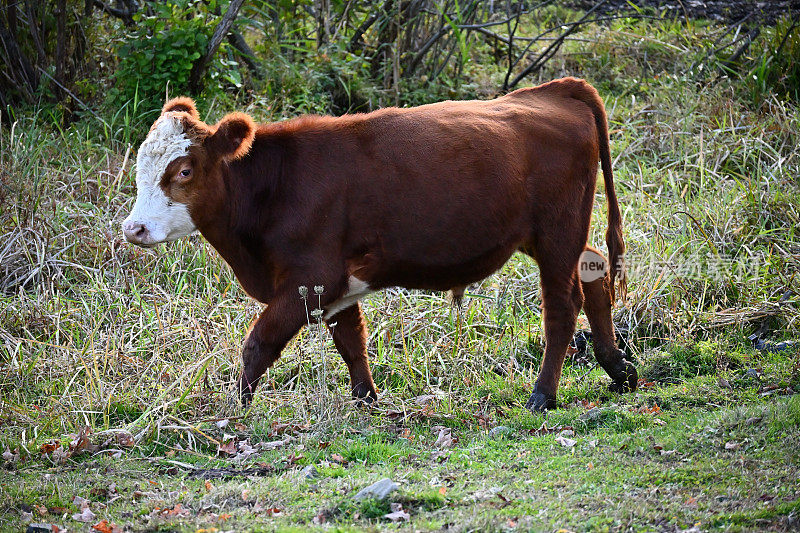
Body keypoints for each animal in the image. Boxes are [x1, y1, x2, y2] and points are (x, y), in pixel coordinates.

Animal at [123, 77, 636, 410]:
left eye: (183, 171)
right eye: (140, 168)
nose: (134, 229)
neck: (276, 185)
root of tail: (555, 89)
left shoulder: (309, 280)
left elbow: (258, 344)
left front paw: (239, 409)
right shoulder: (335, 286)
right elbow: (352, 342)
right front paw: (366, 400)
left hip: (557, 231)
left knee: (562, 305)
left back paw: (544, 394)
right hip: (552, 235)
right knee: (595, 272)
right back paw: (619, 368)